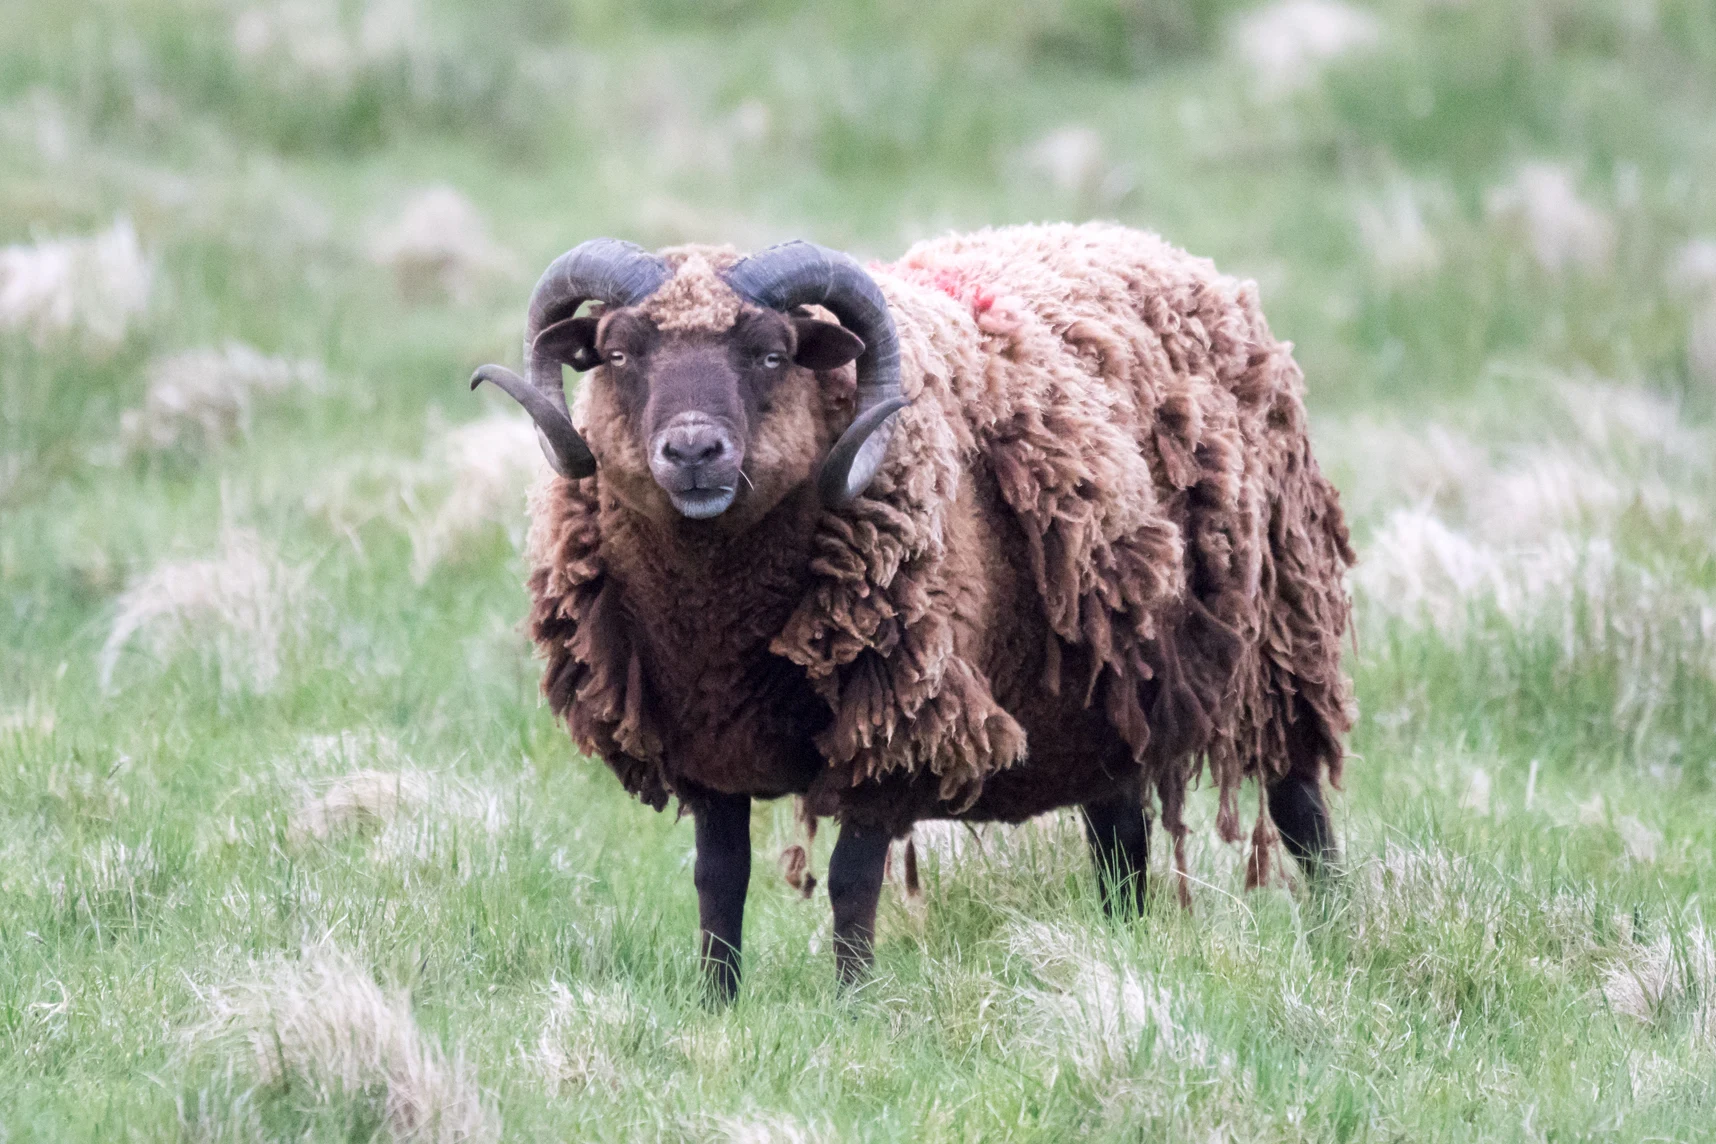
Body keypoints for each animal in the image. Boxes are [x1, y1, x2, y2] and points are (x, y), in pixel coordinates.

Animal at [472, 222, 1355, 999]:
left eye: (772, 354)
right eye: (619, 354)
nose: (693, 452)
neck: (717, 627)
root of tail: (1185, 259)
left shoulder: (893, 733)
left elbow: (849, 880)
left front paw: (854, 1006)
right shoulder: (706, 751)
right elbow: (719, 881)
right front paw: (716, 1003)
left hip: (1280, 647)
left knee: (1302, 811)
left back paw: (1341, 934)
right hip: (1102, 702)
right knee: (1121, 842)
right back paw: (1126, 944)